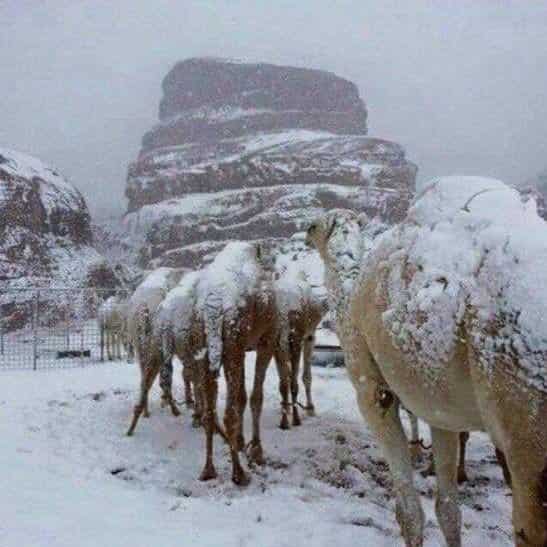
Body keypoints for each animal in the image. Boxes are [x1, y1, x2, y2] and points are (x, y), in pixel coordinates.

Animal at [197, 242, 278, 486]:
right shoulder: (266, 341)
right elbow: (255, 397)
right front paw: (257, 451)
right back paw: (239, 474)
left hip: (206, 341)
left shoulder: (241, 347)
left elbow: (242, 396)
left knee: (210, 412)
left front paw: (242, 443)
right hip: (233, 338)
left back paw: (208, 470)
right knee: (228, 413)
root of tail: (214, 306)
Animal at [308, 179, 547, 547]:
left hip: (525, 418)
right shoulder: (439, 407)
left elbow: (408, 511)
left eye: (314, 227)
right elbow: (448, 509)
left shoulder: (371, 389)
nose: (305, 233)